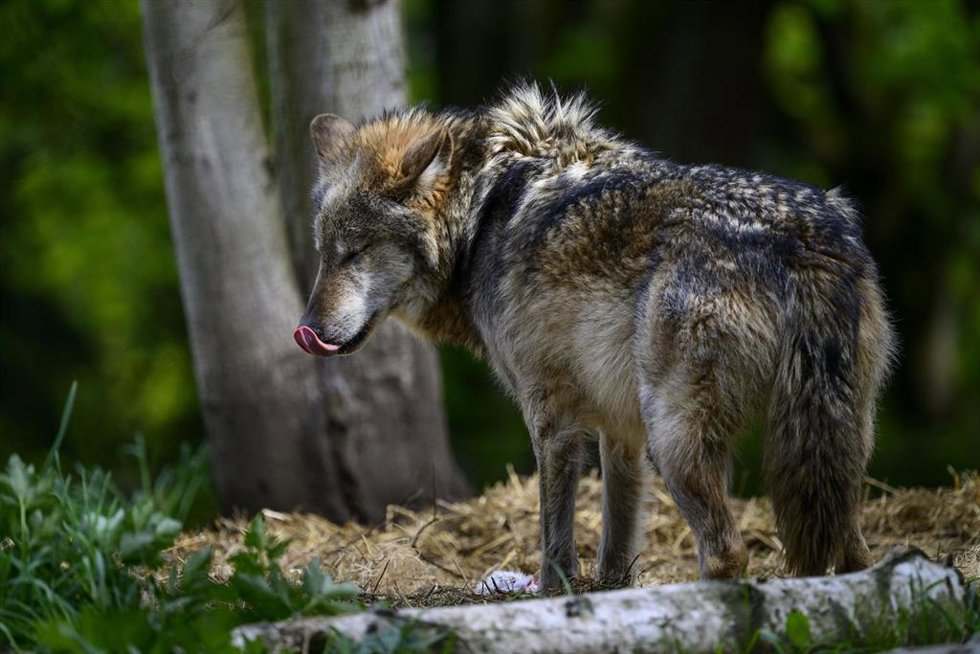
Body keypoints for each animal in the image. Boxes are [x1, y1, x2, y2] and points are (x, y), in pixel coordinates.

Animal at [293, 83, 896, 590]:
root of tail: (803, 238)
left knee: (727, 552)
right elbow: (616, 539)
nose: (308, 332)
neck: (481, 214)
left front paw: (553, 596)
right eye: (324, 254)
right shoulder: (619, 427)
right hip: (832, 444)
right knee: (855, 554)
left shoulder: (551, 415)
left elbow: (555, 539)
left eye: (356, 253)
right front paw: (610, 594)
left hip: (677, 439)